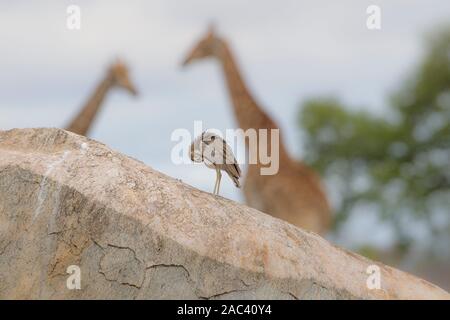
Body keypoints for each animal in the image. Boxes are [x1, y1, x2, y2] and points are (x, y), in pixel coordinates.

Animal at [181, 26, 332, 234]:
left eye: (203, 43)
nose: (183, 61)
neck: (254, 138)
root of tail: (325, 211)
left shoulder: (253, 198)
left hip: (299, 219)